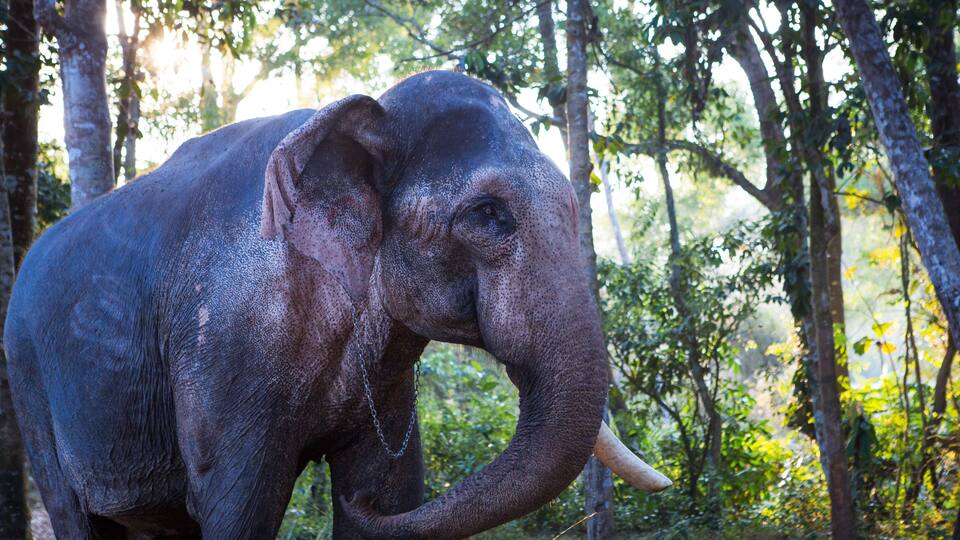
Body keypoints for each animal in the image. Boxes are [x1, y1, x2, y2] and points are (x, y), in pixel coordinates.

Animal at [4, 70, 669, 539]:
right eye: (488, 214)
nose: (348, 503)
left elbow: (395, 489)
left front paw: (366, 499)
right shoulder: (226, 346)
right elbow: (237, 508)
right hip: (29, 382)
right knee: (75, 515)